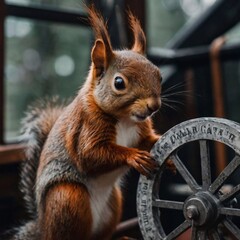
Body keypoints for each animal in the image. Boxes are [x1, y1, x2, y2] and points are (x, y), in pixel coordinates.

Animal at [5, 5, 165, 240]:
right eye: (119, 83)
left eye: (159, 75)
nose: (153, 106)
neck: (125, 119)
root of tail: (42, 226)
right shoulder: (86, 127)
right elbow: (91, 154)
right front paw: (133, 156)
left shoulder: (140, 131)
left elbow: (147, 142)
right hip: (68, 198)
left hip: (113, 203)